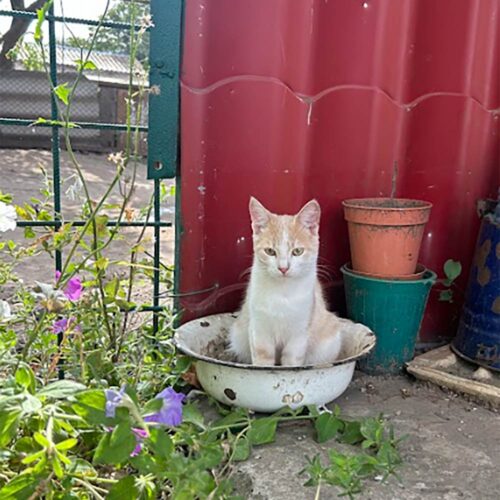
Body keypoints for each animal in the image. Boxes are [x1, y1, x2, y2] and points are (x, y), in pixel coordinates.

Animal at [229, 197, 346, 366]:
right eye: (270, 251)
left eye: (297, 251)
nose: (283, 268)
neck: (282, 292)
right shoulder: (259, 330)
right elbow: (262, 361)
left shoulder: (299, 334)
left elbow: (292, 362)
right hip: (237, 335)